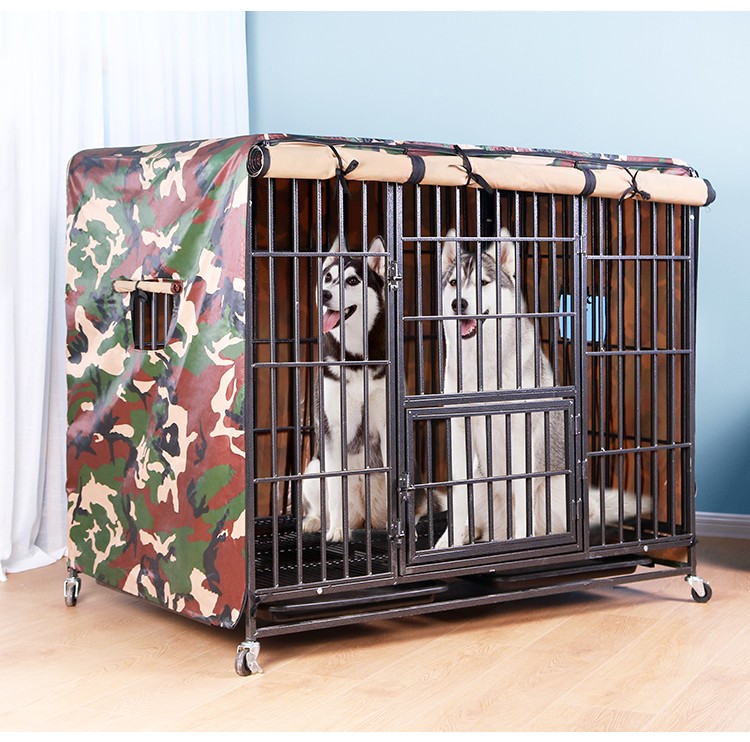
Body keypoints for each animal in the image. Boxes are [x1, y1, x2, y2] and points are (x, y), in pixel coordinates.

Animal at [301, 235, 389, 542]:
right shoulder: (333, 429)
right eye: (328, 277)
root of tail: (364, 519)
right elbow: (336, 486)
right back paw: (317, 522)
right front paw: (337, 530)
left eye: (352, 281)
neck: (354, 359)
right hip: (311, 469)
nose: (326, 293)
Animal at [435, 228, 647, 548]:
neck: (482, 366)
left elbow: (523, 497)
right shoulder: (460, 431)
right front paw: (448, 544)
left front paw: (523, 542)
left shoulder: (522, 436)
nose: (458, 303)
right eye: (453, 283)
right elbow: (459, 493)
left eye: (483, 283)